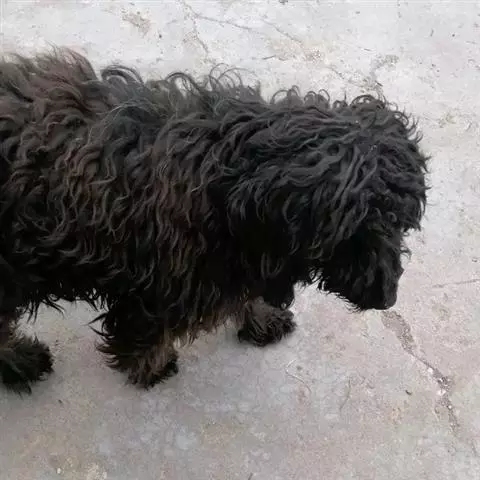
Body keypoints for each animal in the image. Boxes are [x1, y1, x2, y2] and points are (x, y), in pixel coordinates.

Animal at [0, 49, 428, 393]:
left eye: (401, 225)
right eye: (355, 233)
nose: (387, 299)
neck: (229, 179)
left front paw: (261, 318)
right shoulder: (157, 283)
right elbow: (142, 331)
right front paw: (150, 367)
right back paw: (20, 361)